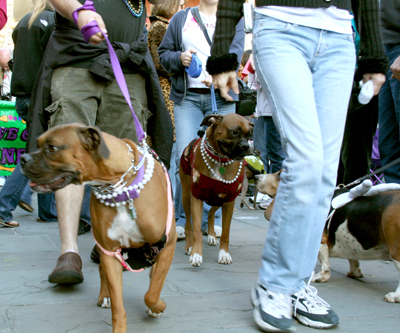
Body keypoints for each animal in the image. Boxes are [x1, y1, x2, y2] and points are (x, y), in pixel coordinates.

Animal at [20, 123, 177, 330]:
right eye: (37, 143)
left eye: (52, 148)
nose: (23, 158)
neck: (120, 186)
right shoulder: (110, 252)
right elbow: (119, 306)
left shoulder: (168, 244)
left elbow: (152, 291)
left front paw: (157, 306)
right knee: (103, 272)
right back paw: (104, 296)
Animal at [180, 113, 253, 266]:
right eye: (234, 132)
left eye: (249, 134)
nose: (245, 146)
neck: (220, 159)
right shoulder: (197, 197)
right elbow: (196, 229)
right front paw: (196, 253)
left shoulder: (229, 201)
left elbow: (226, 232)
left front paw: (224, 254)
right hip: (186, 197)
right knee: (188, 224)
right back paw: (189, 245)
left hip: (217, 198)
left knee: (210, 214)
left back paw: (212, 235)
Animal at [256, 170, 400, 302]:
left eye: (280, 174)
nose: (257, 176)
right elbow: (353, 258)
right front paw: (355, 272)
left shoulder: (320, 241)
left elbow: (324, 262)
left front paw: (321, 277)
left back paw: (394, 296)